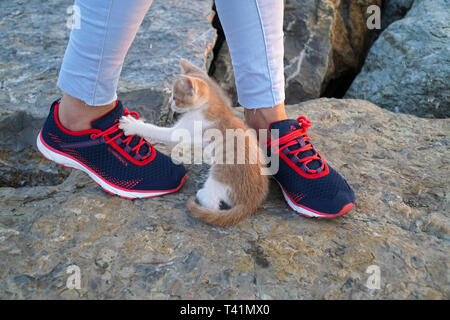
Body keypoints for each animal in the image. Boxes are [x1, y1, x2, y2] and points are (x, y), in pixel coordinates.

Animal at [118, 58, 268, 226]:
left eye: (175, 97)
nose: (169, 103)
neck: (215, 105)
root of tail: (251, 202)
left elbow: (157, 131)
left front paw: (133, 125)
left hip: (219, 176)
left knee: (212, 203)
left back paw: (201, 195)